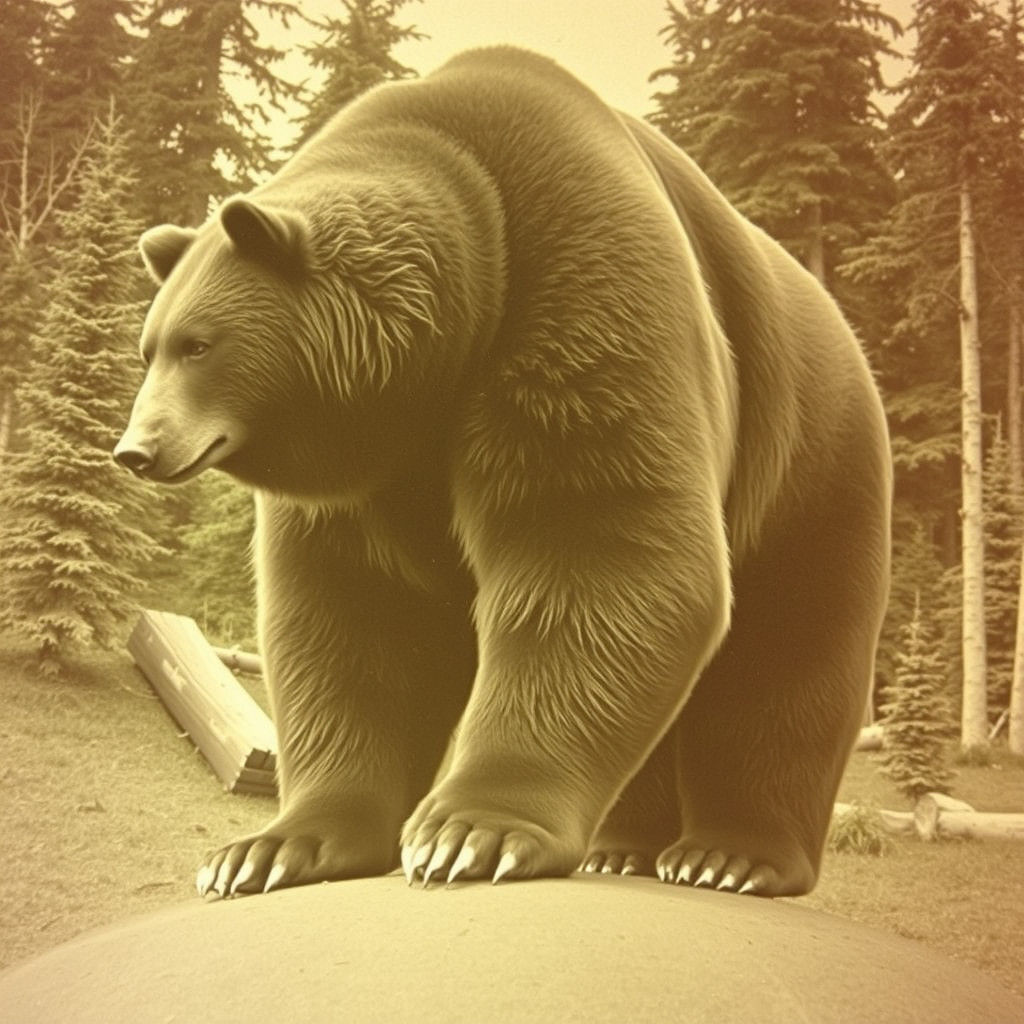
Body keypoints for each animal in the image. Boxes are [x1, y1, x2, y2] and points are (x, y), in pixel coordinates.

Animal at [114, 46, 891, 899]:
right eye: (150, 347)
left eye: (198, 344)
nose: (137, 449)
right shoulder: (369, 471)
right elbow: (355, 615)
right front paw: (267, 850)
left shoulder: (578, 303)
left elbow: (596, 546)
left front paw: (470, 834)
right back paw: (622, 847)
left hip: (810, 466)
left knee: (784, 659)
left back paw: (729, 857)